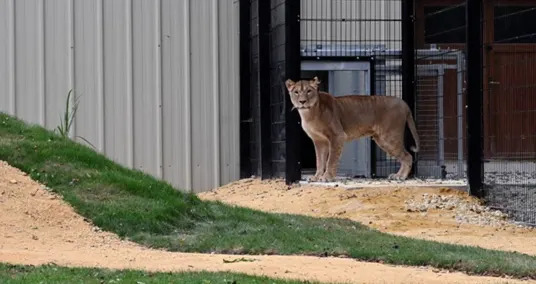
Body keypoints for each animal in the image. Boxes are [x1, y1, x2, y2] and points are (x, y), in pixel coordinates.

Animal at [284, 76, 418, 182]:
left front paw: (327, 177)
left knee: (408, 156)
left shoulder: (337, 136)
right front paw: (316, 177)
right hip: (381, 140)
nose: (302, 101)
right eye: (296, 92)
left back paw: (400, 176)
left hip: (389, 138)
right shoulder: (319, 141)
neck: (309, 114)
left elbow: (331, 159)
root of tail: (403, 103)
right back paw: (398, 175)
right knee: (405, 156)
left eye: (308, 91)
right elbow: (320, 160)